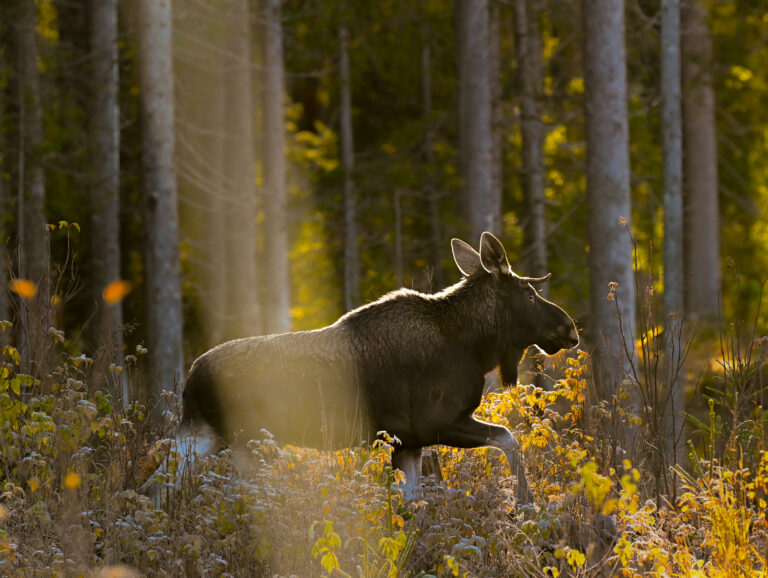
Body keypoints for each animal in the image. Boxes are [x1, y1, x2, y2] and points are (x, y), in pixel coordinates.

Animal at [144, 232, 576, 502]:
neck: (473, 347)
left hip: (203, 435)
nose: (569, 328)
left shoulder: (409, 442)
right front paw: (525, 503)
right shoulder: (437, 423)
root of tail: (190, 379)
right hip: (245, 441)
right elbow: (510, 439)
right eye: (529, 292)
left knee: (152, 487)